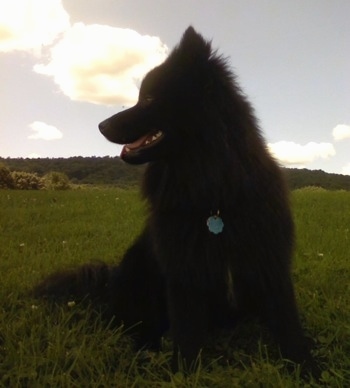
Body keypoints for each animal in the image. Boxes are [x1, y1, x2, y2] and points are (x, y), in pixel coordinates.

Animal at [34, 27, 314, 372]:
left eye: (149, 99)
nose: (100, 125)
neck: (211, 190)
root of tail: (108, 282)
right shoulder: (184, 271)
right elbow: (187, 330)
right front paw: (185, 371)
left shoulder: (268, 260)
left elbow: (288, 323)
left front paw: (307, 367)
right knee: (136, 324)